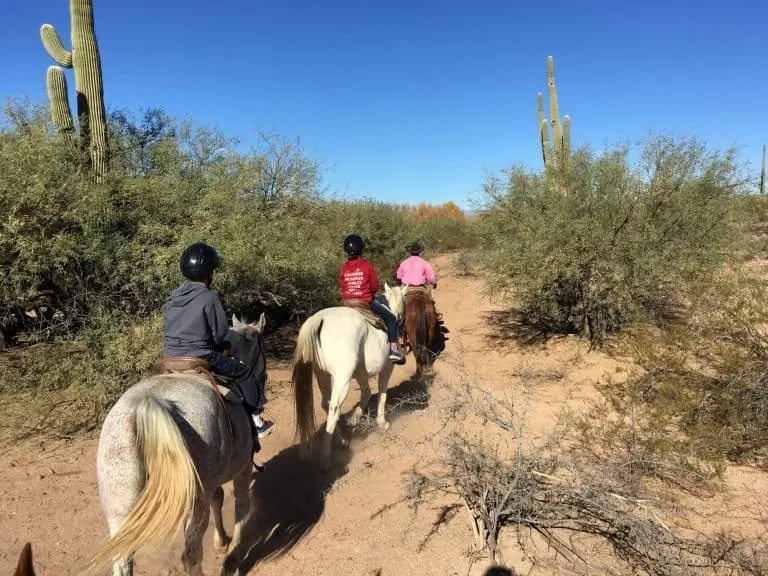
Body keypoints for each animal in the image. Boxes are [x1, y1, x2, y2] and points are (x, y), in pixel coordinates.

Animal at [75, 316, 268, 576]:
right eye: (261, 346)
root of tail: (143, 406)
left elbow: (218, 497)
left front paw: (222, 541)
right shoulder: (243, 467)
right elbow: (241, 506)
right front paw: (232, 558)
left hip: (119, 504)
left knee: (123, 560)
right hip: (194, 502)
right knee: (190, 555)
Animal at [292, 282, 408, 468]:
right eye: (406, 299)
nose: (400, 320)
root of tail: (319, 319)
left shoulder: (361, 372)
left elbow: (366, 392)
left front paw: (355, 418)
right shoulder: (387, 367)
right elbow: (382, 393)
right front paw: (381, 422)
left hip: (322, 375)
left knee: (327, 404)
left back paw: (342, 440)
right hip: (342, 377)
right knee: (334, 407)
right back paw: (326, 459)